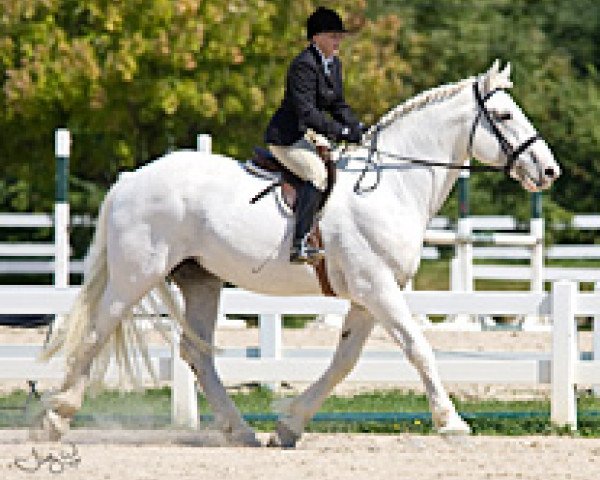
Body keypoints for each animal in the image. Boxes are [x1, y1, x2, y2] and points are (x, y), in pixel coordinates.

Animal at [36, 61, 564, 446]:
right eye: (504, 116)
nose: (549, 171)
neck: (391, 186)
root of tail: (131, 178)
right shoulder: (378, 288)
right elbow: (419, 348)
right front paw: (452, 423)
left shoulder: (368, 296)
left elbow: (344, 361)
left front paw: (289, 426)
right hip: (137, 275)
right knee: (96, 332)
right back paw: (55, 420)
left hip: (201, 279)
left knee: (196, 352)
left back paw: (242, 432)